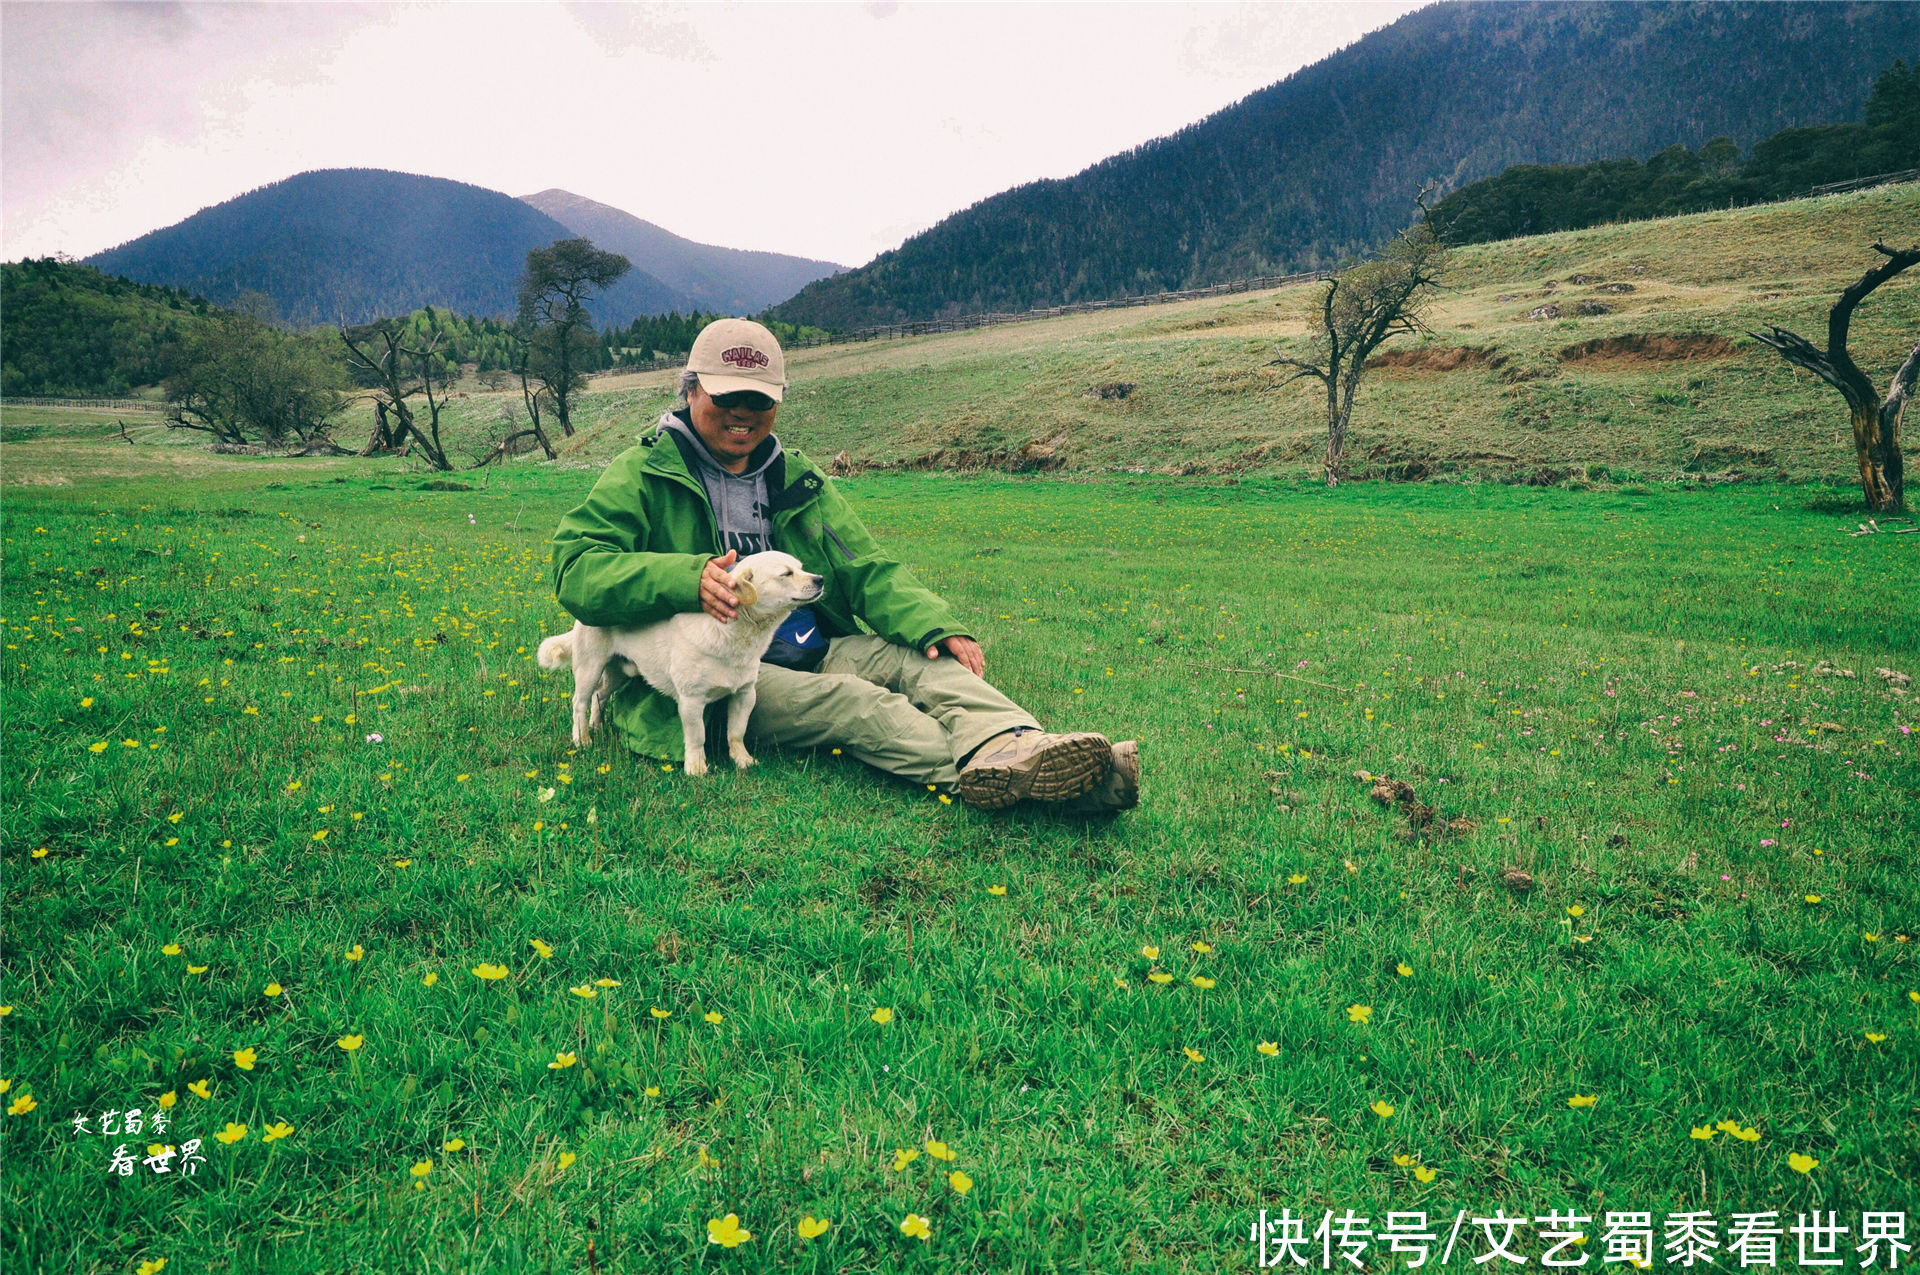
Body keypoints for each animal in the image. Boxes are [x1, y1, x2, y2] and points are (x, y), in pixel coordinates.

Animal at [533, 549, 825, 775]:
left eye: (801, 568)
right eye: (786, 573)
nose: (821, 579)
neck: (736, 636)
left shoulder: (744, 694)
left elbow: (736, 732)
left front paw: (741, 760)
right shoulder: (691, 701)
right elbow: (697, 738)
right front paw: (696, 768)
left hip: (620, 671)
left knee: (600, 695)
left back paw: (596, 725)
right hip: (590, 667)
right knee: (579, 703)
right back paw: (582, 739)